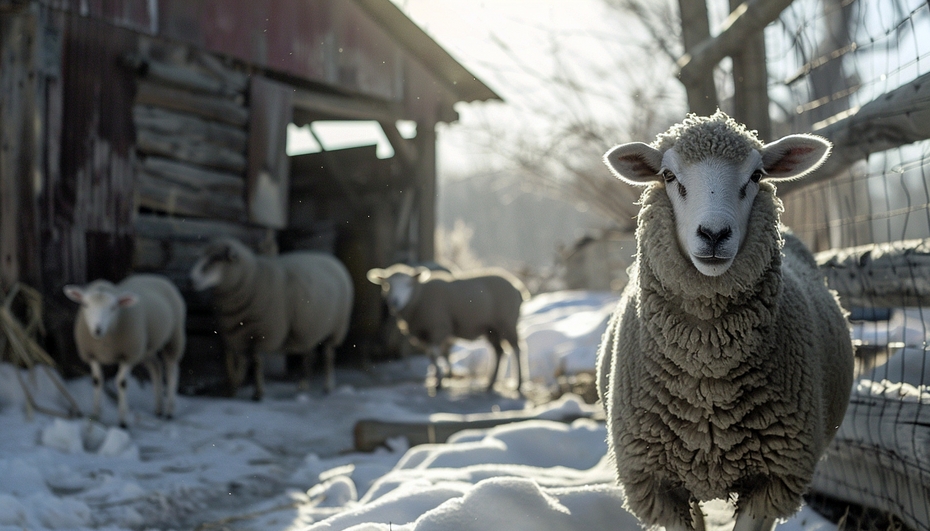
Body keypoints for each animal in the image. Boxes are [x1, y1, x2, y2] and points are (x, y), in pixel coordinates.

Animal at [64, 274, 187, 428]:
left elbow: (122, 383)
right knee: (156, 367)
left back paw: (170, 410)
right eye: (85, 304)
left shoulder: (128, 355)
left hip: (174, 336)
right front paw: (96, 416)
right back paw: (158, 408)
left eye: (113, 307)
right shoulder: (92, 355)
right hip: (145, 348)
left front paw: (123, 421)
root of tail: (154, 276)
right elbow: (97, 381)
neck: (104, 341)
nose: (97, 330)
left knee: (172, 370)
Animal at [188, 237, 352, 400]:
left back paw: (328, 386)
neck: (252, 278)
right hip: (307, 326)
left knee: (328, 356)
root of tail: (331, 259)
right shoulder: (235, 334)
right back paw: (303, 385)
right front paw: (233, 388)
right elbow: (236, 363)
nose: (191, 279)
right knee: (308, 355)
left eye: (216, 258)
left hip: (336, 329)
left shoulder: (261, 333)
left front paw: (258, 394)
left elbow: (256, 362)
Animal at [368, 266, 528, 394]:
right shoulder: (426, 333)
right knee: (498, 351)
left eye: (409, 284)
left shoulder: (438, 327)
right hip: (492, 328)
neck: (419, 297)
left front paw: (439, 382)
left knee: (516, 349)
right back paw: (490, 383)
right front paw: (436, 378)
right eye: (387, 284)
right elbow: (431, 355)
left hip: (507, 322)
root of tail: (518, 288)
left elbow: (435, 353)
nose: (394, 302)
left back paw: (519, 383)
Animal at [600, 111, 852, 531]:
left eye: (756, 175)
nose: (714, 234)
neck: (708, 372)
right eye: (668, 175)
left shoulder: (773, 479)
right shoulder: (656, 483)